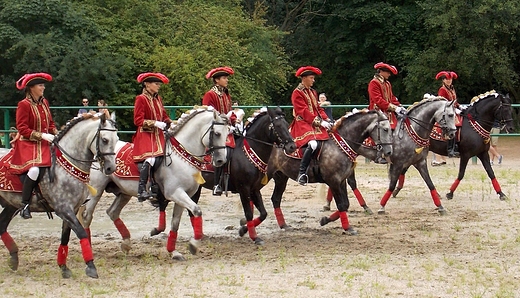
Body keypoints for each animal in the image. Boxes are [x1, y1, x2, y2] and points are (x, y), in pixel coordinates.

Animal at [0, 114, 118, 280]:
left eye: (117, 139)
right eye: (105, 140)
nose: (110, 168)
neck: (67, 166)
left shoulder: (72, 210)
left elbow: (65, 237)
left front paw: (64, 267)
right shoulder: (63, 209)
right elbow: (81, 232)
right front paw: (91, 266)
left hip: (11, 204)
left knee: (2, 225)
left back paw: (14, 259)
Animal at [80, 106, 228, 258]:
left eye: (228, 133)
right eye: (217, 133)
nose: (221, 160)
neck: (182, 156)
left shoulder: (184, 195)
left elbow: (176, 223)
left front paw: (173, 251)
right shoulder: (175, 193)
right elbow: (197, 211)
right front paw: (193, 245)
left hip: (124, 192)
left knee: (112, 212)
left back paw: (126, 243)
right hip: (96, 190)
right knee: (87, 216)